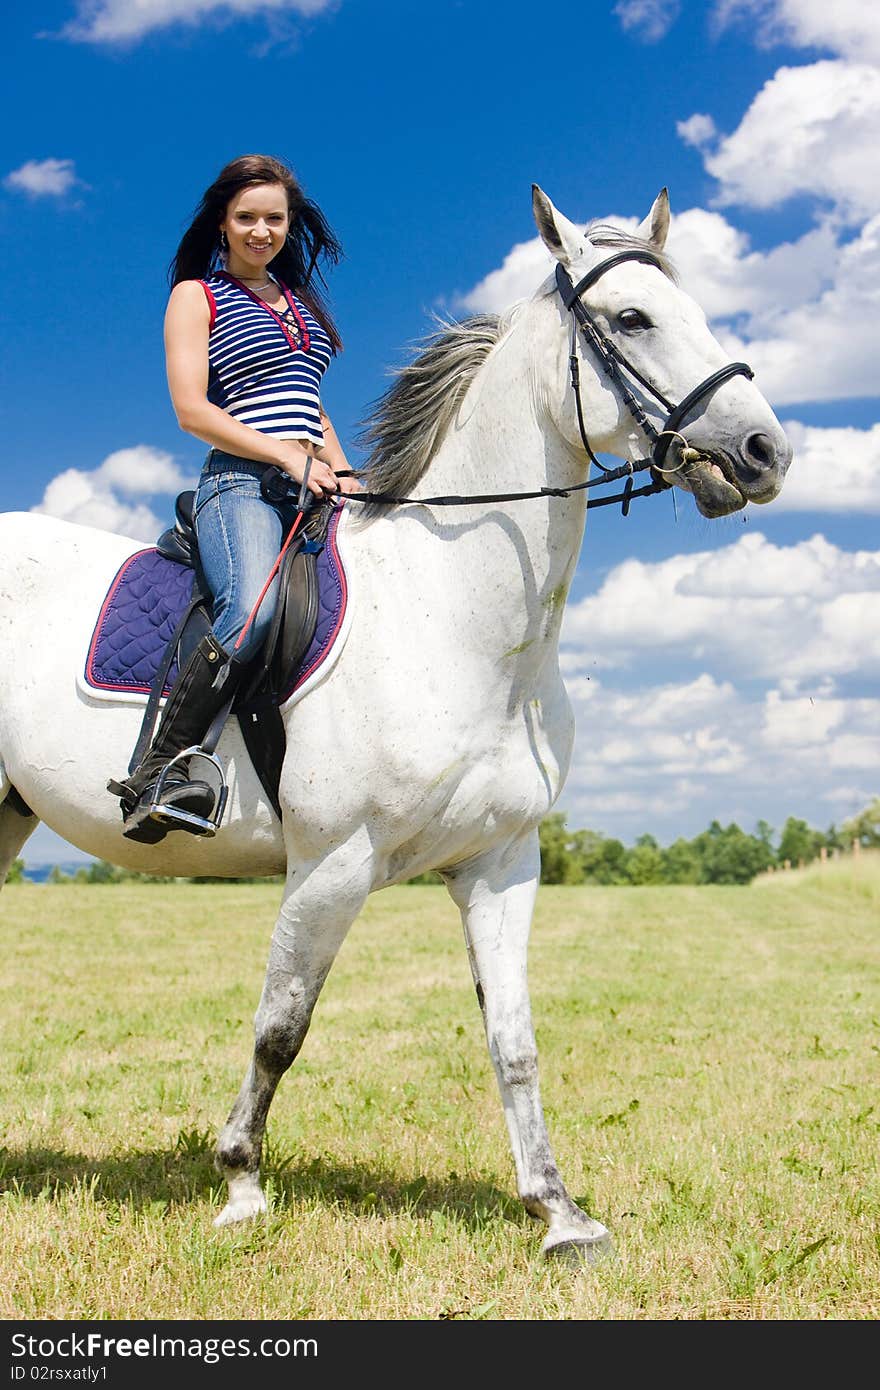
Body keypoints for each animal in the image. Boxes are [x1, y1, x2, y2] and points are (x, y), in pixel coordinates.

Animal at [0, 190, 789, 1267]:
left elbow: (514, 1038)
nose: (765, 453)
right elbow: (280, 1028)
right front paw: (241, 1185)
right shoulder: (332, 864)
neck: (451, 615)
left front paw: (559, 1212)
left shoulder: (501, 862)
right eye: (631, 320)